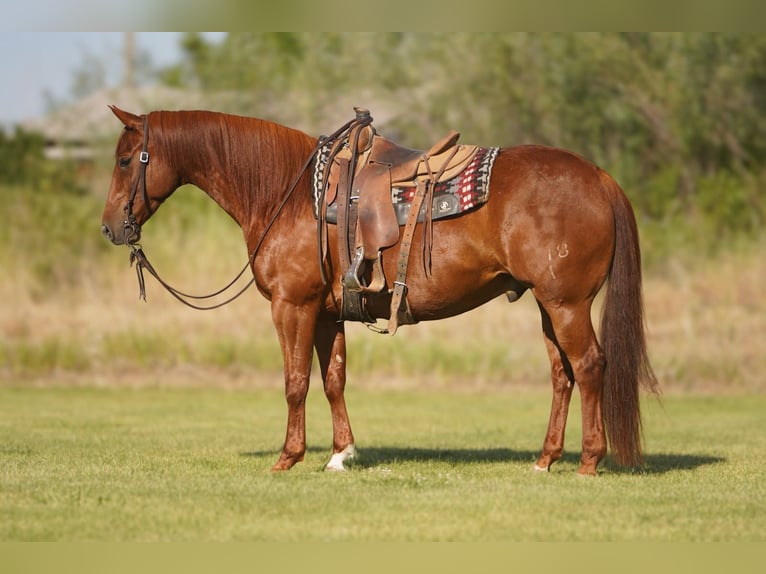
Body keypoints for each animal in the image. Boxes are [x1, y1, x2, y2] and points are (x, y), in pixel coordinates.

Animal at [101, 106, 659, 476]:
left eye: (126, 160)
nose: (110, 227)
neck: (287, 193)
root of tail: (599, 176)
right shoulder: (327, 313)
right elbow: (333, 380)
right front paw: (340, 454)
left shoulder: (292, 307)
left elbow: (295, 382)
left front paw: (287, 457)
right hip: (548, 304)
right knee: (562, 375)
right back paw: (545, 459)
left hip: (567, 304)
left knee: (589, 367)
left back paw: (589, 462)